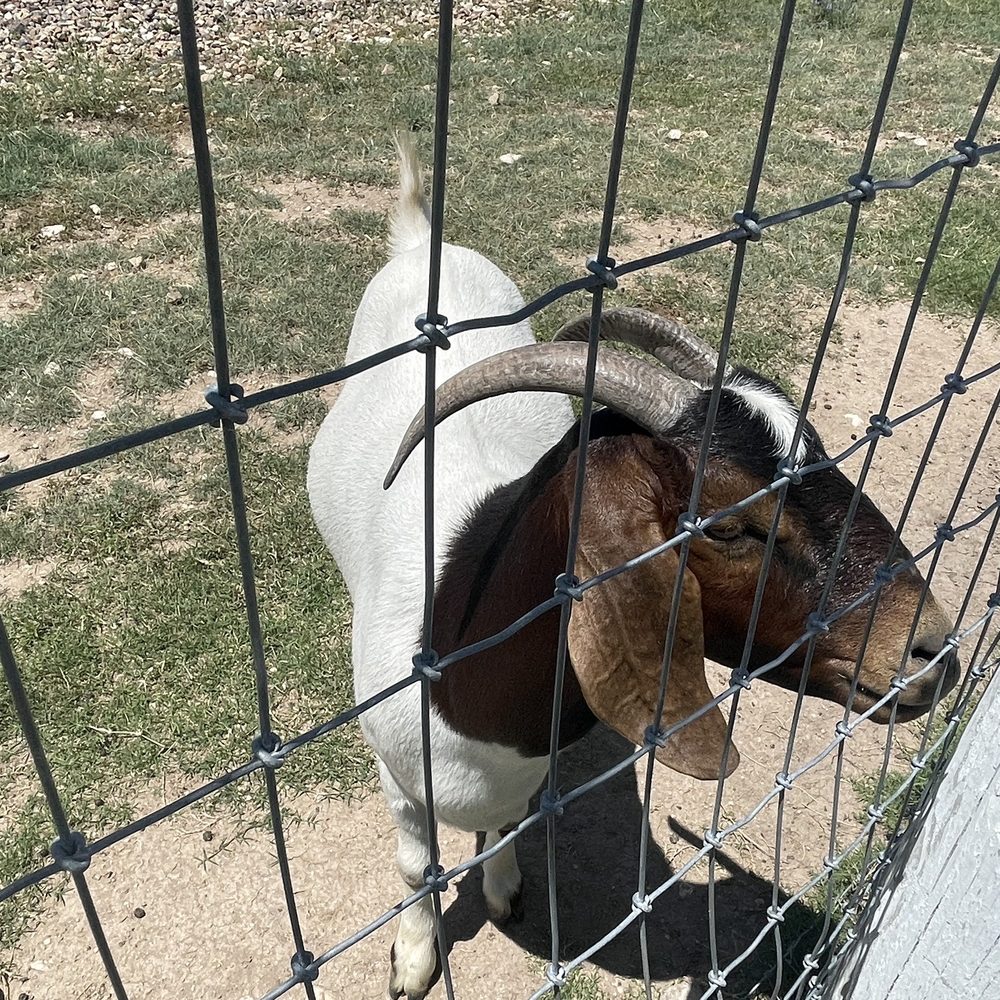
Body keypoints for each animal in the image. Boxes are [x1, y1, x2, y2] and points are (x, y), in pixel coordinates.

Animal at [306, 137, 959, 1000]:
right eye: (727, 524)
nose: (932, 651)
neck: (455, 636)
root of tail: (421, 243)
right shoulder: (396, 776)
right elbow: (417, 870)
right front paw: (412, 964)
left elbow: (504, 830)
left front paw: (505, 889)